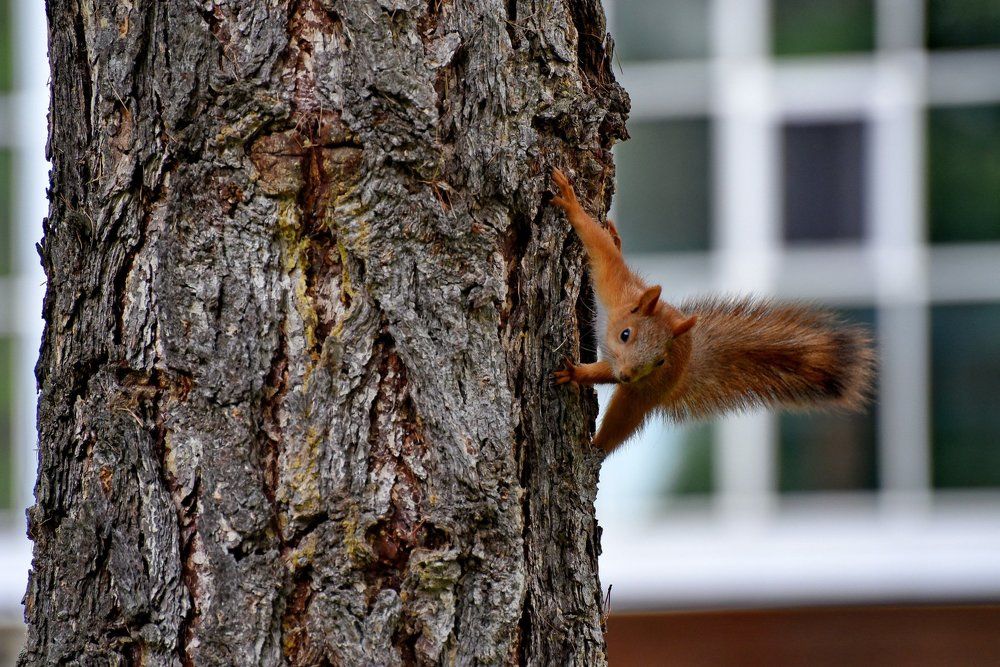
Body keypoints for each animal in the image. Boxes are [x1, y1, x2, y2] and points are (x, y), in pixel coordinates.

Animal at [549, 168, 875, 454]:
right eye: (625, 334)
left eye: (659, 361)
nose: (629, 375)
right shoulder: (613, 284)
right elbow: (601, 245)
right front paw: (573, 204)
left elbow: (606, 371)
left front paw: (575, 373)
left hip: (645, 395)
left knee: (622, 422)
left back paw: (596, 448)